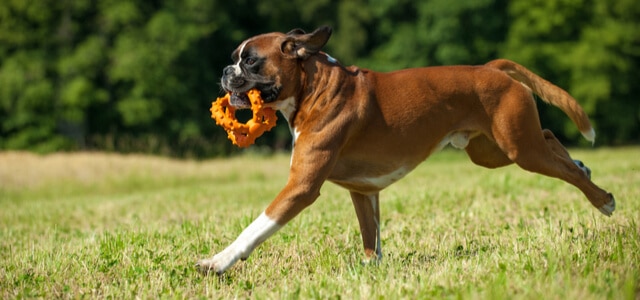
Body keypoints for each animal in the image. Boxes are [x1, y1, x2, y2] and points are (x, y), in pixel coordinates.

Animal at [196, 27, 616, 276]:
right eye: (235, 59)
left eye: (250, 61)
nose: (225, 71)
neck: (314, 85)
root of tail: (490, 67)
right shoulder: (363, 192)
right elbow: (371, 237)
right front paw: (372, 272)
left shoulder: (300, 188)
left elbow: (255, 228)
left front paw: (217, 261)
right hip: (494, 151)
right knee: (550, 139)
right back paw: (583, 165)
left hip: (519, 150)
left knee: (564, 167)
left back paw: (604, 200)